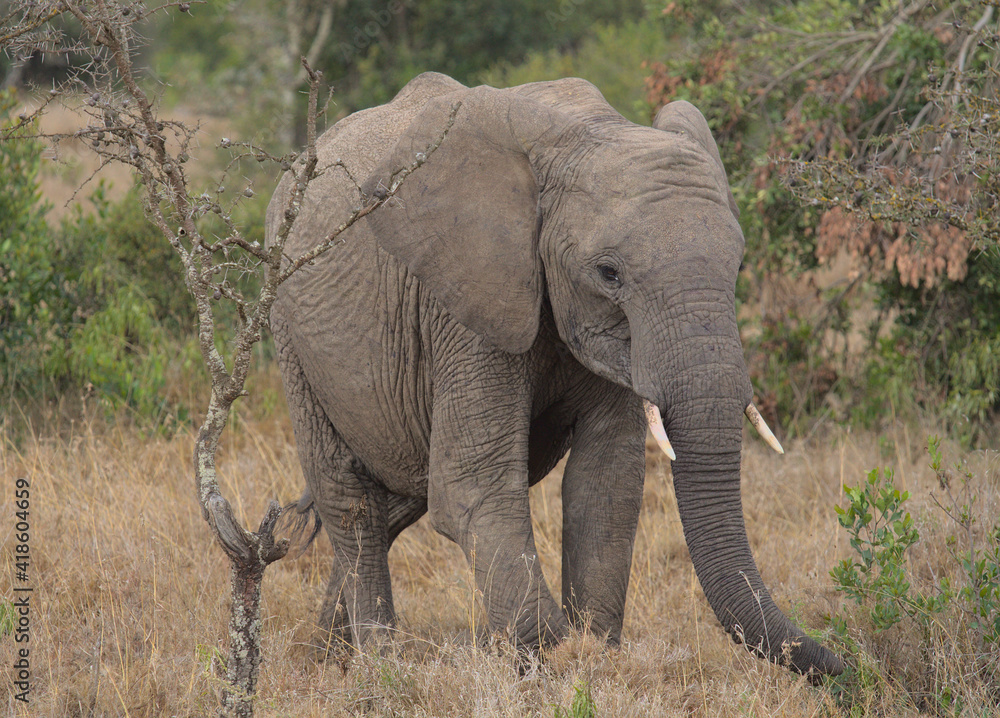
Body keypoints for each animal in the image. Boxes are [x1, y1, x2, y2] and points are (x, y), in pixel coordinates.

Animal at [266, 71, 843, 677]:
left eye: (738, 265)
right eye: (609, 273)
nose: (850, 668)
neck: (587, 131)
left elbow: (606, 483)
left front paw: (595, 655)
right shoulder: (465, 304)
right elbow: (474, 485)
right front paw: (557, 661)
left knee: (400, 497)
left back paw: (332, 657)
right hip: (289, 327)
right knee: (351, 500)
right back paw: (379, 665)